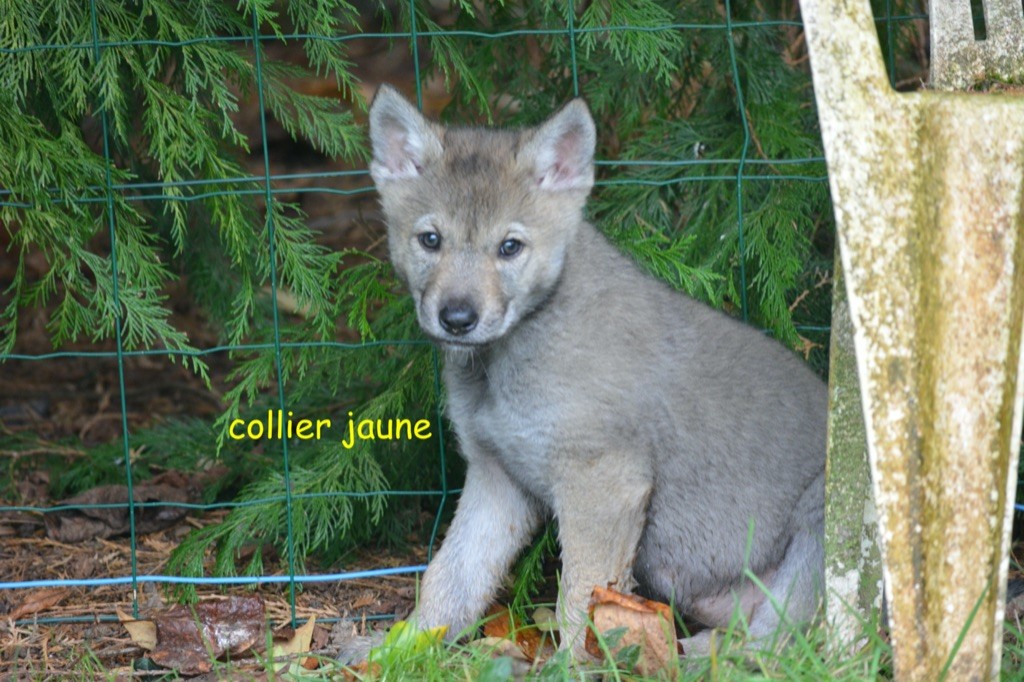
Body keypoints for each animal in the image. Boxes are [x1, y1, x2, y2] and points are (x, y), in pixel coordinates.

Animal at [367, 84, 827, 655]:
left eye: (510, 247)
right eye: (430, 240)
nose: (456, 318)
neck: (504, 364)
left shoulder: (603, 481)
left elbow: (580, 599)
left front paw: (571, 665)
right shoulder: (495, 477)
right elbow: (451, 578)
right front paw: (397, 653)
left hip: (826, 518)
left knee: (788, 642)